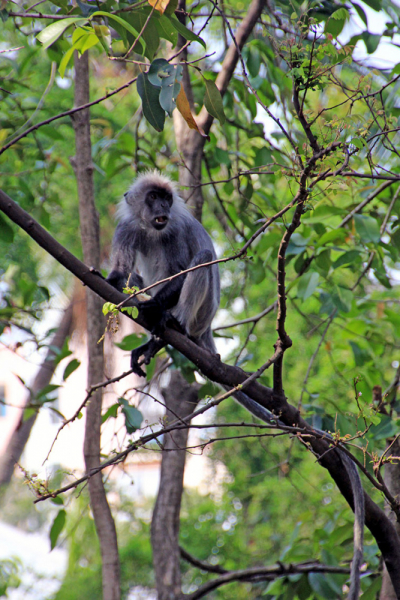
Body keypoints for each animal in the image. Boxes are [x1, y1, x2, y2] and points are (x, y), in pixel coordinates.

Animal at [108, 169, 364, 596]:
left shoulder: (175, 232)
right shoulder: (127, 230)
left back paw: (169, 326)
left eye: (166, 200)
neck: (152, 229)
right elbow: (122, 273)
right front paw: (110, 285)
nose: (162, 209)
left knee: (201, 261)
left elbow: (185, 263)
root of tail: (205, 328)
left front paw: (153, 309)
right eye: (153, 200)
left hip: (204, 307)